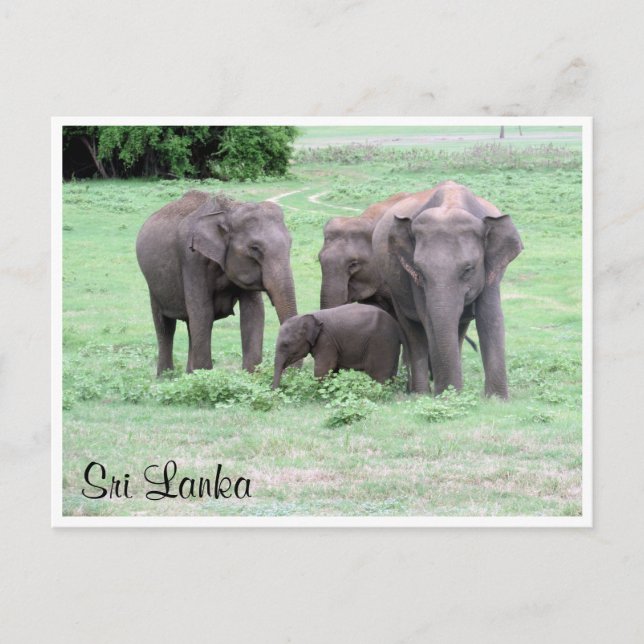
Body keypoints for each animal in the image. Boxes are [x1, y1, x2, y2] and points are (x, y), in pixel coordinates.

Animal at [136, 190, 298, 375]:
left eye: (290, 244)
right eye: (255, 248)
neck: (229, 211)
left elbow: (253, 312)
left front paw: (250, 376)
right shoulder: (192, 259)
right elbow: (203, 312)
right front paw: (204, 377)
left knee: (190, 325)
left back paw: (188, 375)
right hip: (153, 283)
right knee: (166, 325)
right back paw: (166, 378)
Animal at [271, 303, 402, 388]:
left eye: (286, 344)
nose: (276, 390)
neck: (309, 316)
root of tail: (396, 326)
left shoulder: (326, 341)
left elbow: (323, 368)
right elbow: (333, 369)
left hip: (382, 342)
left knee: (379, 375)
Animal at [372, 181, 523, 398]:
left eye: (468, 269)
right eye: (419, 270)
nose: (449, 392)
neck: (451, 203)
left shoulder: (492, 267)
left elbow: (490, 316)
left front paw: (496, 399)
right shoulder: (412, 275)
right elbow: (428, 318)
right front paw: (448, 397)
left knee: (459, 328)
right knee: (413, 332)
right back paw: (420, 394)